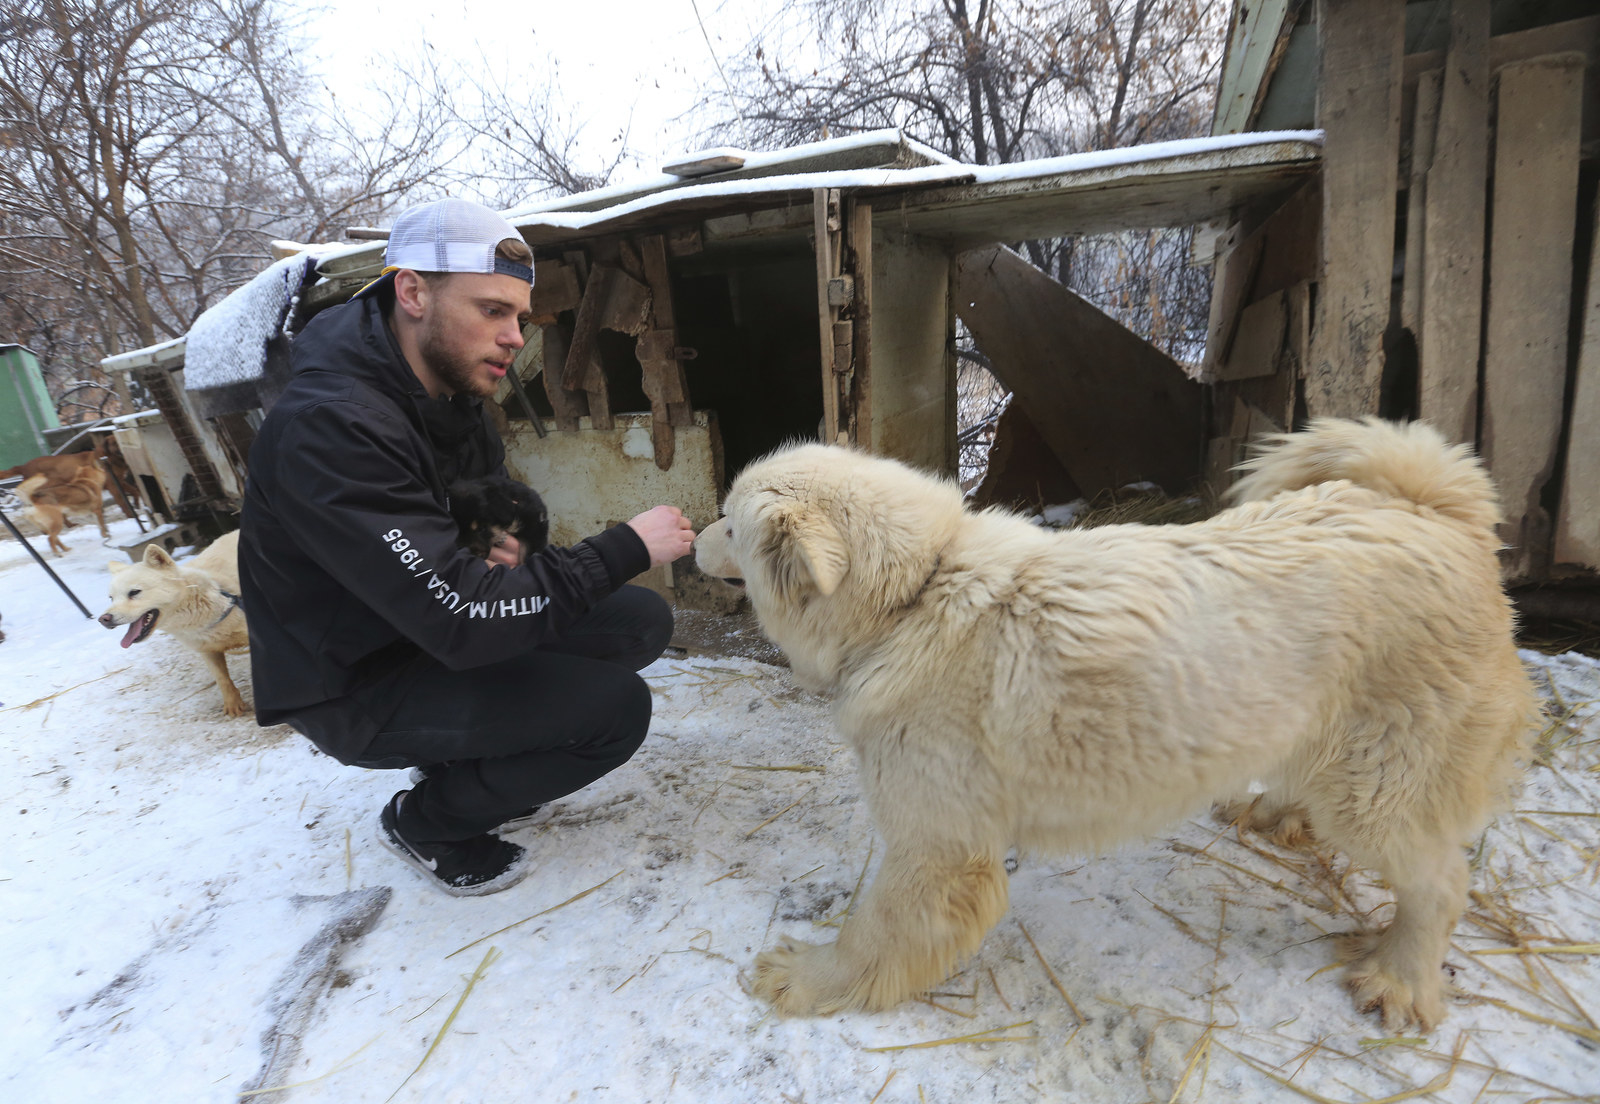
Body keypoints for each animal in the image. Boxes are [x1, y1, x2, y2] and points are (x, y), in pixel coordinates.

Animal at [697, 416, 1536, 1030]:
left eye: (731, 526)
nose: (689, 533)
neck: (919, 593)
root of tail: (1433, 510)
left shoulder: (935, 849)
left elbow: (870, 933)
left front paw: (806, 979)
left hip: (1378, 789)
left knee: (1441, 884)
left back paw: (1400, 979)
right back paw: (1273, 814)